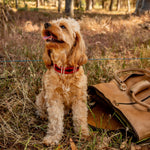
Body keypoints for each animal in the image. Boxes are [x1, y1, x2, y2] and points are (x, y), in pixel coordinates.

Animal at [35, 17, 88, 145]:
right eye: (51, 22)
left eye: (63, 26)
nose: (46, 24)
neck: (64, 70)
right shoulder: (54, 98)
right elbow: (55, 119)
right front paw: (53, 137)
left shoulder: (79, 97)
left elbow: (80, 116)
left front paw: (82, 133)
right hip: (41, 97)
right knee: (40, 108)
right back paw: (43, 115)